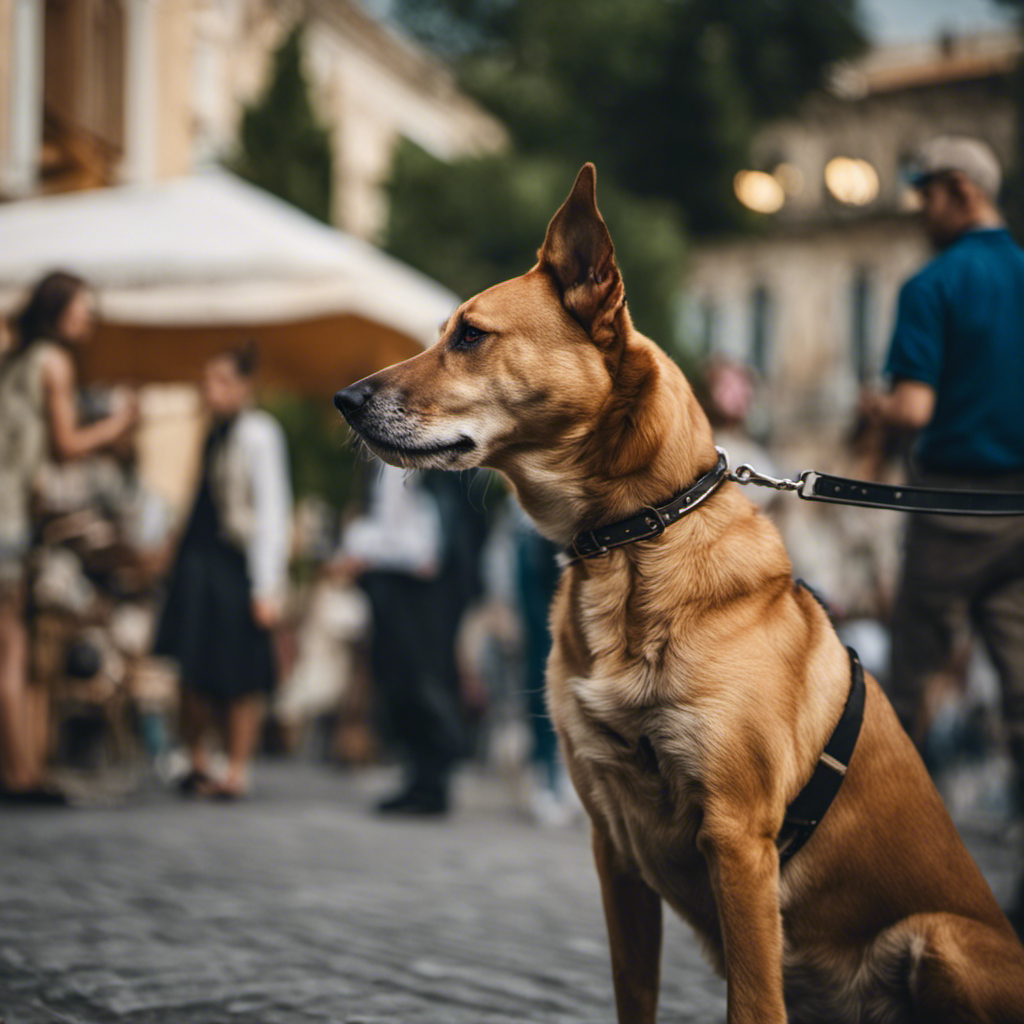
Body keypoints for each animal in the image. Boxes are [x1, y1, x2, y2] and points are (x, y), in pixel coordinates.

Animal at [337, 163, 1024, 1019]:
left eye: (469, 336)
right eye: (441, 332)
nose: (344, 400)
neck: (631, 546)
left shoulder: (737, 840)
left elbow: (754, 1004)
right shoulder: (615, 847)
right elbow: (635, 992)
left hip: (939, 939)